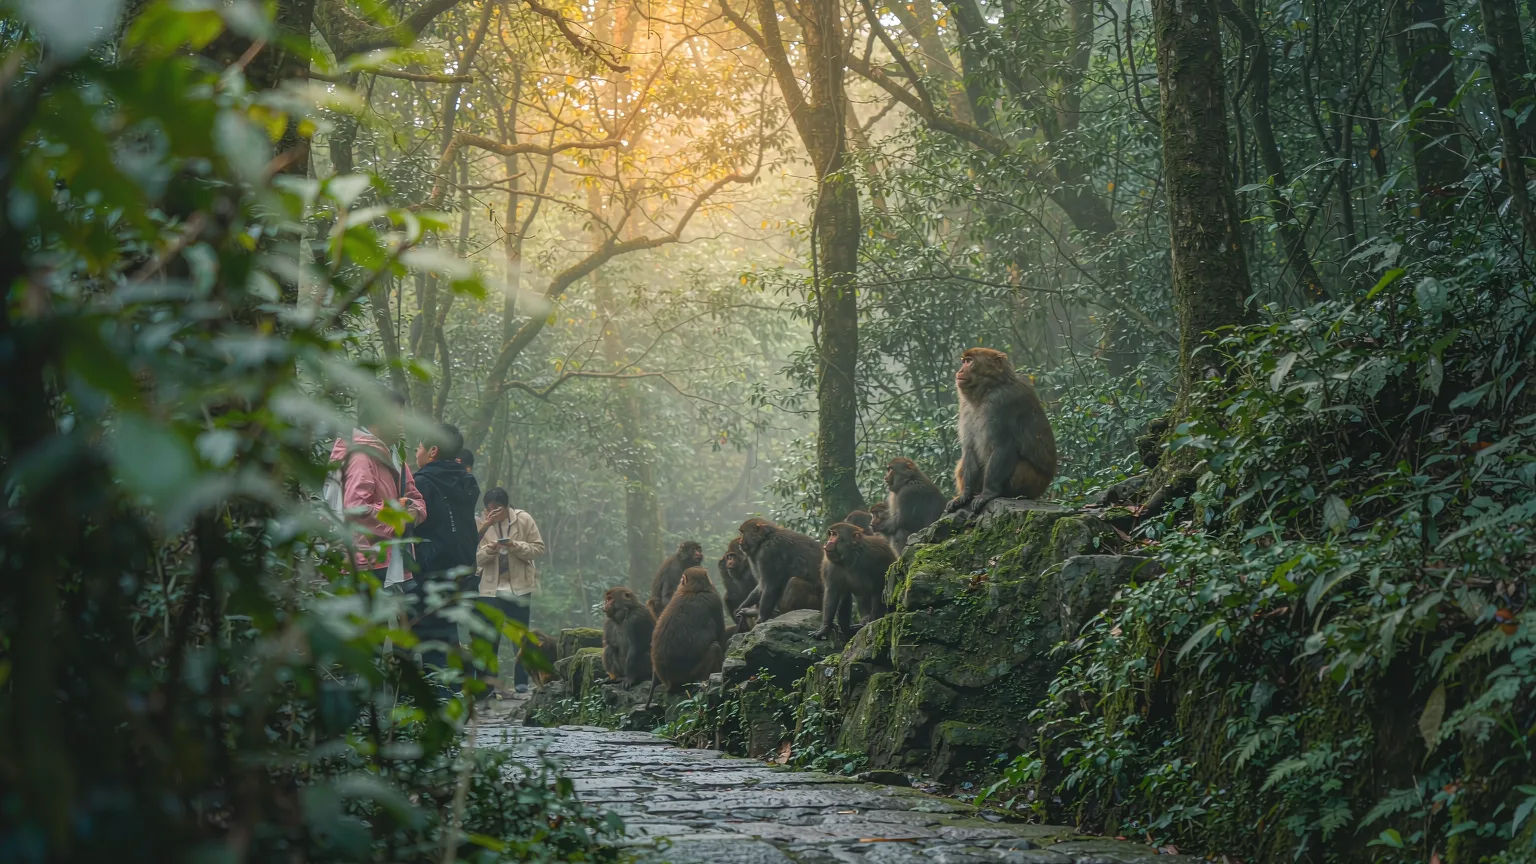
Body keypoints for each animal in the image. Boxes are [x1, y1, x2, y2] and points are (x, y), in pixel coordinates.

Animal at [945, 347, 1057, 518]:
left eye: (969, 362)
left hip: (1036, 483)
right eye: (964, 361)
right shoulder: (965, 408)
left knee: (1020, 465)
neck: (987, 390)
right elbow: (969, 448)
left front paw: (988, 493)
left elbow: (1004, 445)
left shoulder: (1002, 402)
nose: (960, 371)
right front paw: (965, 495)